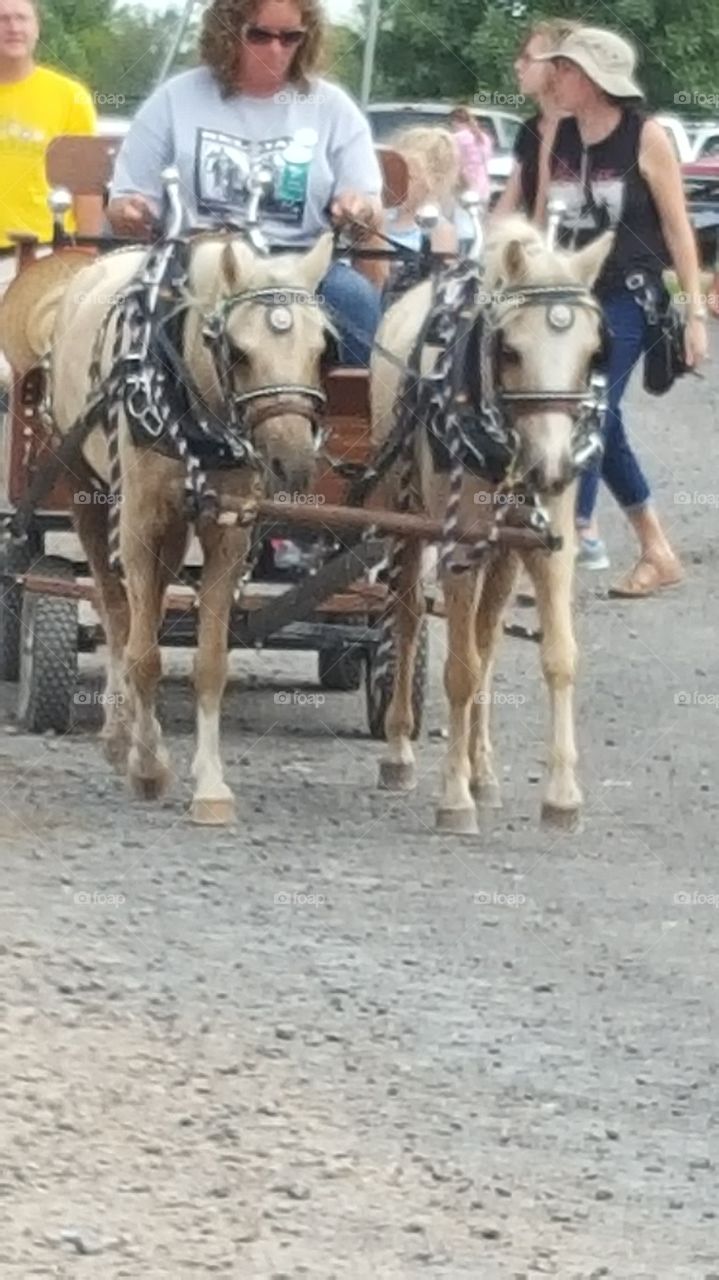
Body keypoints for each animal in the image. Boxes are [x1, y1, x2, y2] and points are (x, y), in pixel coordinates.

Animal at [48, 231, 335, 824]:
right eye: (240, 352)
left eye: (321, 350)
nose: (293, 463)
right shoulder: (137, 524)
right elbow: (143, 654)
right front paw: (148, 767)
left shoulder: (227, 528)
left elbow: (209, 661)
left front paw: (211, 785)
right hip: (88, 491)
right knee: (116, 613)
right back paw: (120, 734)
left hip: (176, 529)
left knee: (148, 608)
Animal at [370, 215, 613, 834]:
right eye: (512, 350)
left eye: (591, 354)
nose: (550, 469)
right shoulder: (458, 547)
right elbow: (459, 668)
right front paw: (454, 797)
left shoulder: (549, 546)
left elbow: (556, 658)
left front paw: (561, 795)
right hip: (404, 517)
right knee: (408, 618)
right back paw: (400, 751)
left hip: (504, 554)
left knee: (488, 638)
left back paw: (483, 771)